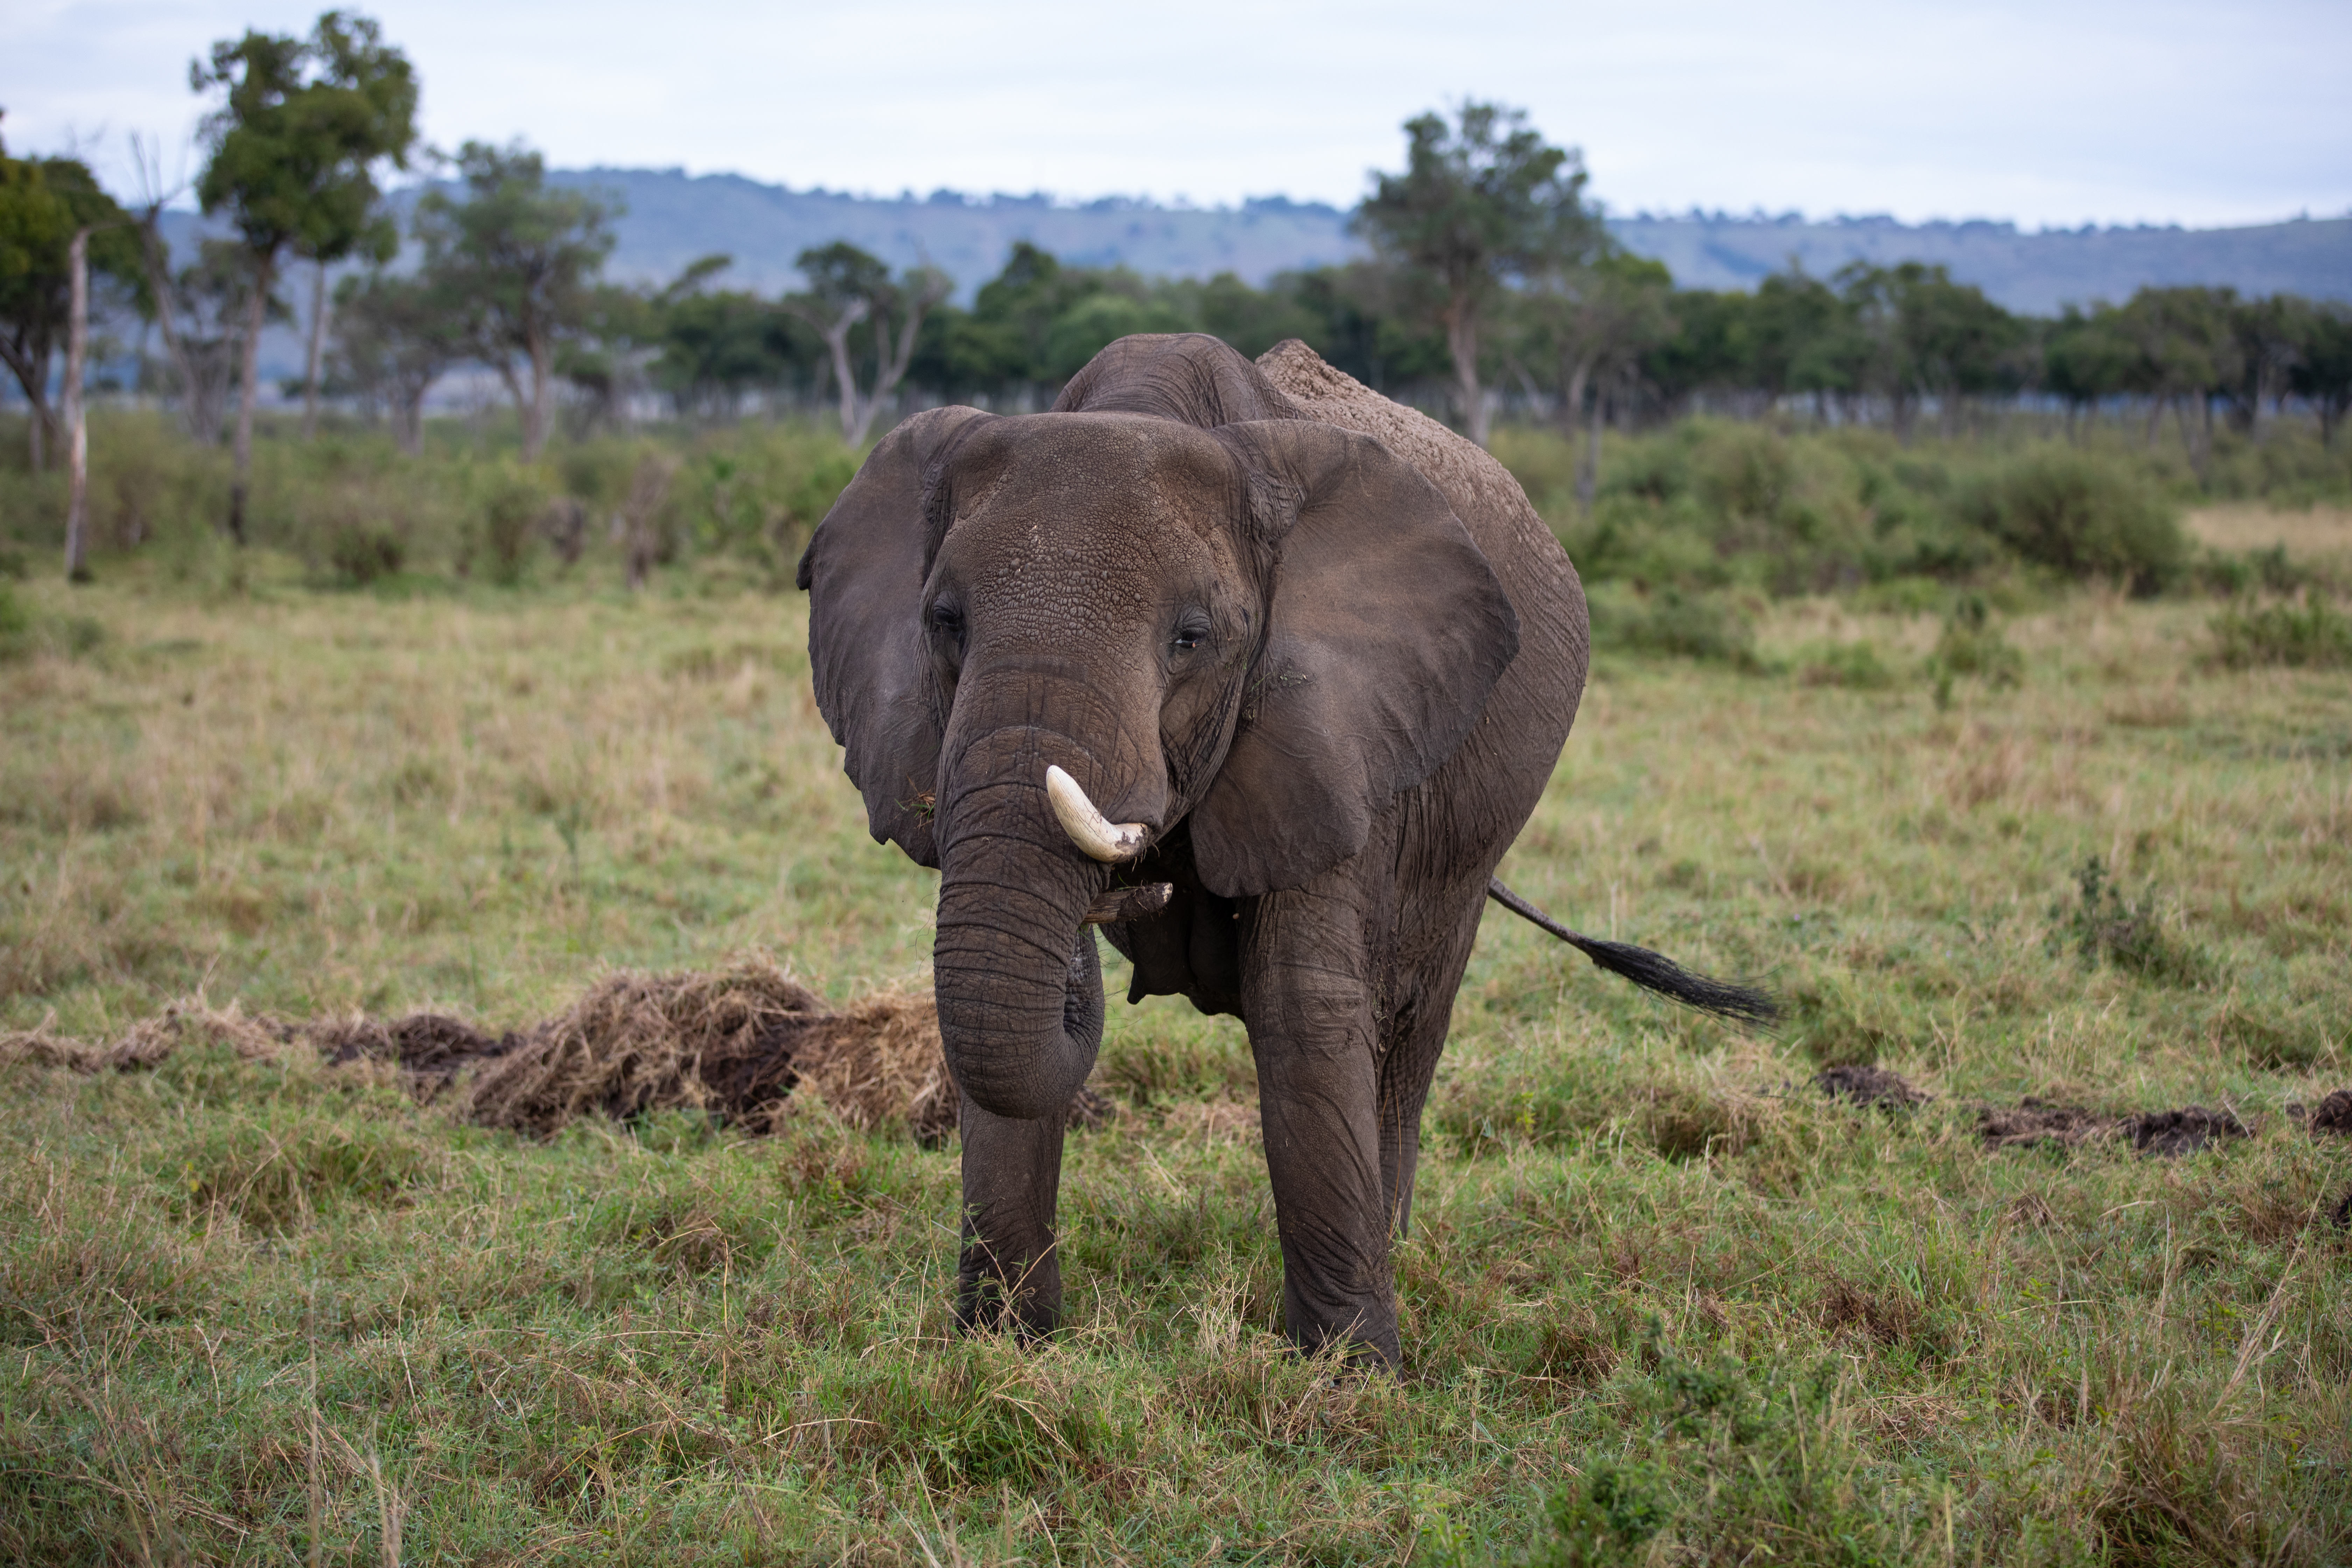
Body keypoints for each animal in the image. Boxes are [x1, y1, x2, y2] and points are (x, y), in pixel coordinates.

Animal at [797, 333, 1768, 1366]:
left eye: (1192, 638)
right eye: (945, 623)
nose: (1122, 888)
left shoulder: (1342, 727)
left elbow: (1304, 1006)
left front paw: (1348, 1375)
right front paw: (1002, 1348)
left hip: (1468, 833)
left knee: (1410, 1022)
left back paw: (1394, 1245)